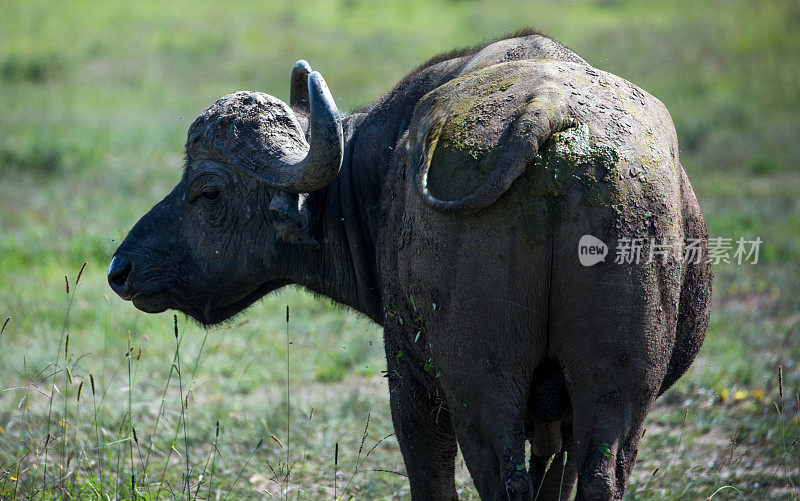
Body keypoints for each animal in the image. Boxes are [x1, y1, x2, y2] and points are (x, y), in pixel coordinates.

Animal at [108, 30, 712, 496]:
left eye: (207, 191)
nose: (121, 269)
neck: (370, 179)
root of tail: (543, 114)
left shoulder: (411, 386)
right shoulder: (556, 416)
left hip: (476, 390)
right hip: (615, 393)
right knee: (598, 478)